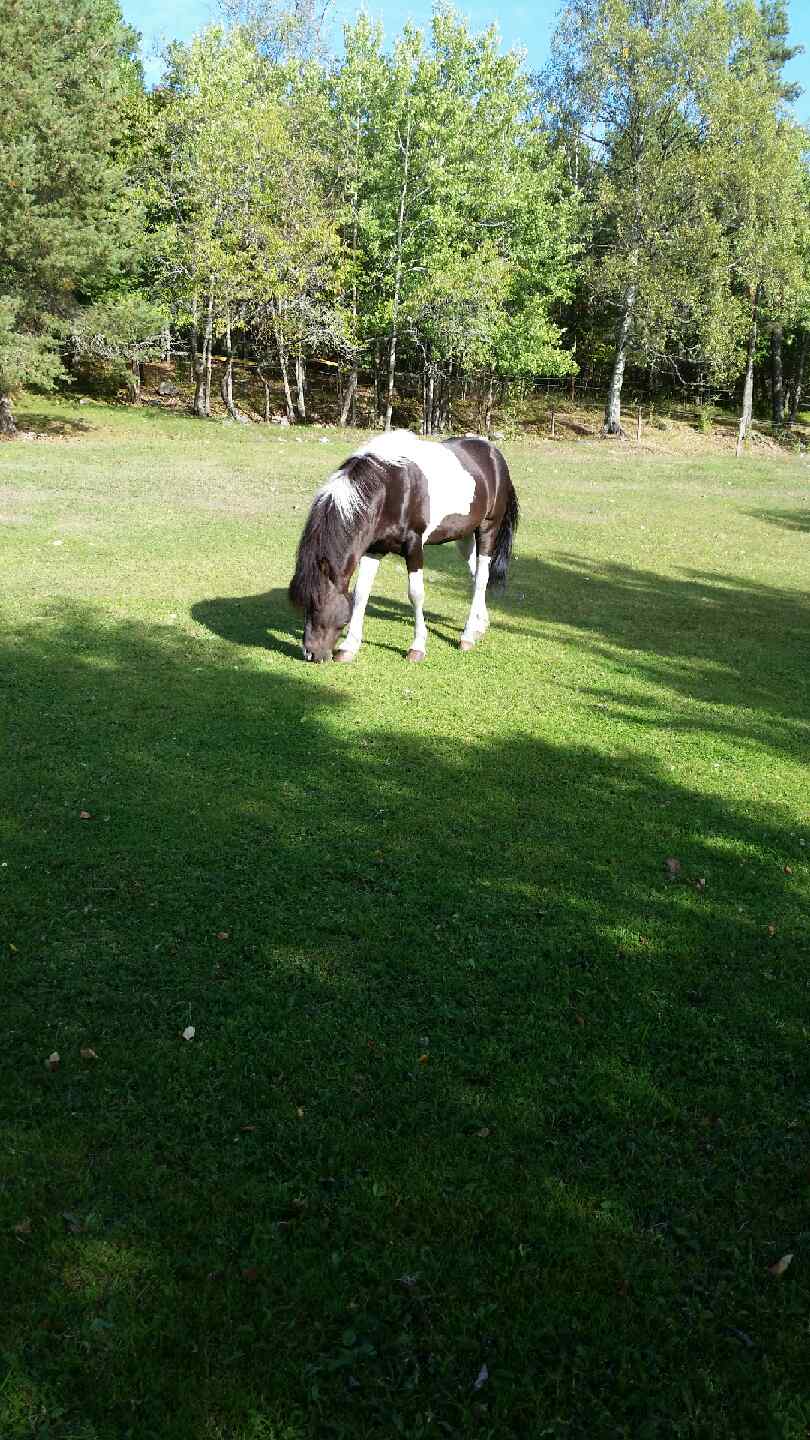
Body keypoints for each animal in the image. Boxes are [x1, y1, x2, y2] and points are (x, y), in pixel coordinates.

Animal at [289, 429, 519, 663]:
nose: (310, 653)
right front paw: (349, 647)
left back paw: (468, 635)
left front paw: (417, 647)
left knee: (481, 578)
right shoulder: (374, 549)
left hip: (487, 528)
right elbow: (361, 593)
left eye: (318, 603)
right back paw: (481, 624)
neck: (389, 489)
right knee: (476, 574)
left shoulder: (414, 546)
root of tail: (493, 453)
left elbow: (416, 595)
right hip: (464, 537)